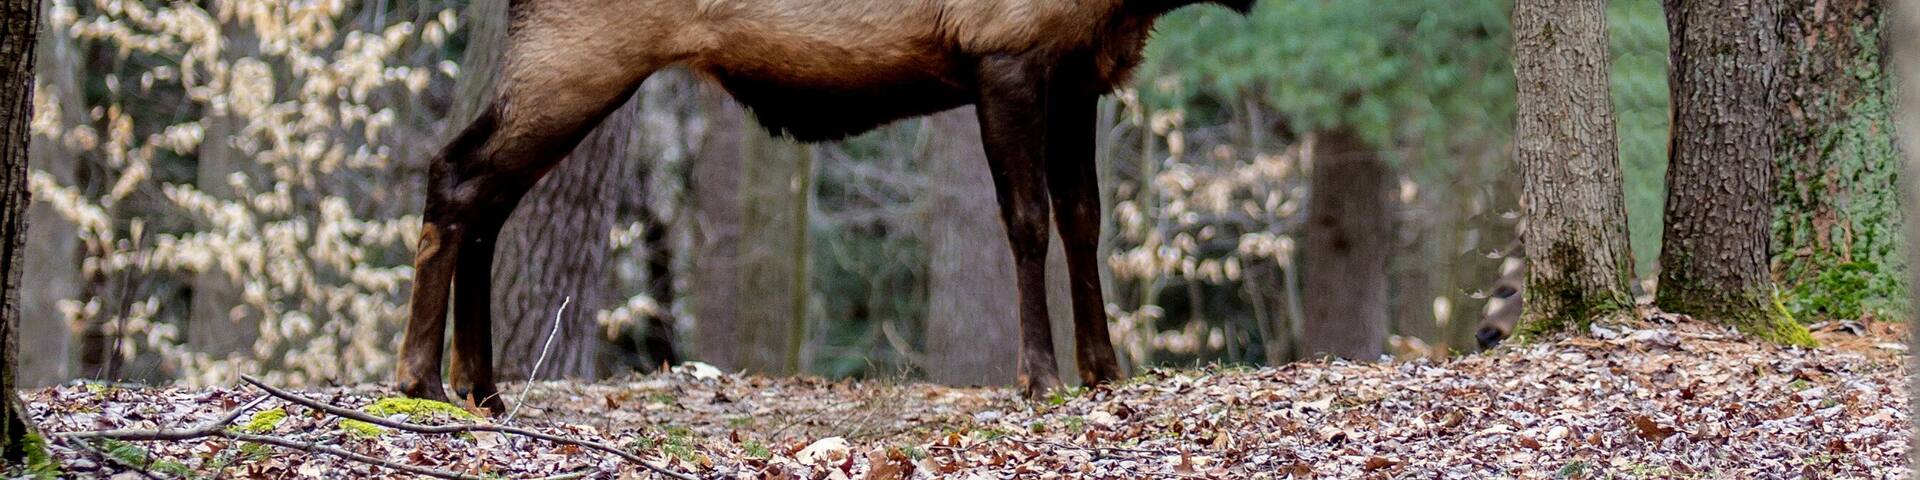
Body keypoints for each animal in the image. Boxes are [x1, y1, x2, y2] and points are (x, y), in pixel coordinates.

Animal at [396, 0, 1259, 411]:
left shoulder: (1078, 71)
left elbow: (1085, 220)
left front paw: (1107, 370)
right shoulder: (1004, 47)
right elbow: (1027, 222)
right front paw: (1040, 378)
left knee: (488, 198)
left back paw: (481, 387)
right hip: (578, 56)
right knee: (455, 173)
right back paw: (421, 378)